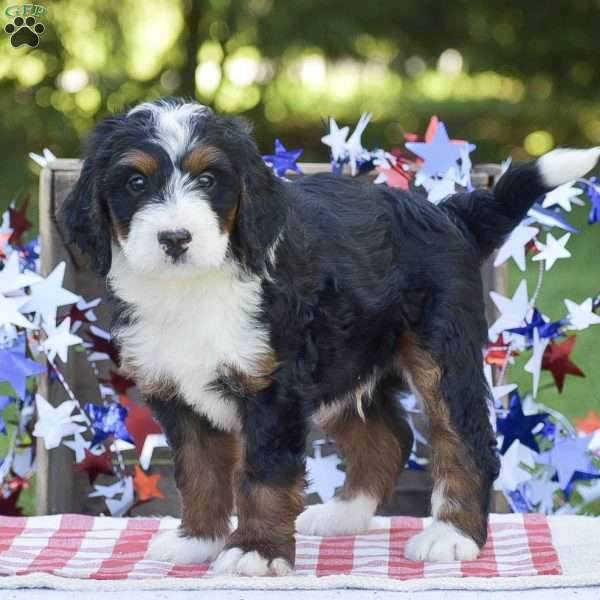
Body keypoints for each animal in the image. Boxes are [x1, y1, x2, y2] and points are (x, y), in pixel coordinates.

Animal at [62, 99, 600, 576]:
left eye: (209, 180)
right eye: (136, 182)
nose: (175, 239)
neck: (192, 290)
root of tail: (448, 214)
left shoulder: (273, 387)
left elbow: (265, 474)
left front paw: (255, 551)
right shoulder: (179, 392)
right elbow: (199, 473)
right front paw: (197, 541)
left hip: (441, 353)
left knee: (467, 441)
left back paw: (452, 535)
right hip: (345, 357)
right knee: (389, 438)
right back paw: (346, 514)